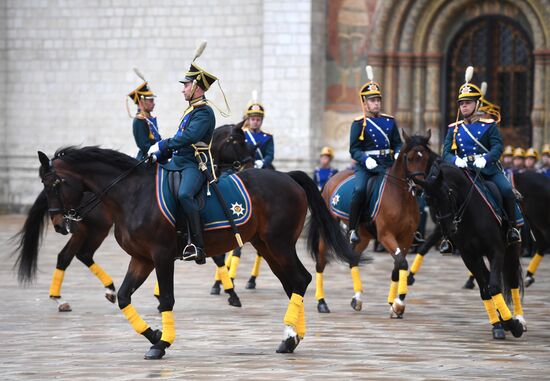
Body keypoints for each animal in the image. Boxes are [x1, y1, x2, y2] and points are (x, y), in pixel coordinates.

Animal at [32, 145, 360, 360]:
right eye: (44, 185)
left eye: (54, 183)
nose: (59, 224)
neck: (131, 195)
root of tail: (288, 177)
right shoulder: (141, 258)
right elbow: (124, 297)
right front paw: (154, 334)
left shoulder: (161, 256)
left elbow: (166, 299)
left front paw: (161, 343)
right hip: (266, 246)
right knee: (294, 283)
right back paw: (292, 337)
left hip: (279, 244)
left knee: (300, 279)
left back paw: (290, 337)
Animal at [312, 131, 434, 314]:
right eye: (410, 158)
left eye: (426, 157)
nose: (419, 188)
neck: (401, 197)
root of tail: (331, 180)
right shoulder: (385, 236)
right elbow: (402, 262)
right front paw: (399, 303)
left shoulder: (406, 238)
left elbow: (398, 266)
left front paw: (395, 302)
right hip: (327, 232)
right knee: (321, 263)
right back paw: (322, 302)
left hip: (363, 236)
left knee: (353, 259)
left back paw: (357, 299)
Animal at [422, 160, 528, 338]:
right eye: (429, 200)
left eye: (449, 194)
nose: (449, 230)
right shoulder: (469, 256)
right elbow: (485, 290)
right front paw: (498, 325)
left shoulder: (496, 251)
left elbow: (494, 287)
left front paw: (513, 325)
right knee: (490, 278)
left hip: (512, 249)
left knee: (512, 281)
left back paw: (519, 319)